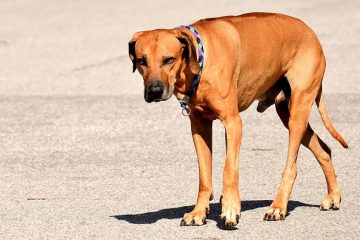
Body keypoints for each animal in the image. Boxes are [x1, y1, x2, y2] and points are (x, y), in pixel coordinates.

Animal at [128, 12, 348, 227]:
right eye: (141, 61)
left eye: (169, 60)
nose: (155, 91)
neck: (201, 61)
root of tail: (310, 32)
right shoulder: (199, 126)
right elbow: (204, 176)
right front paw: (199, 211)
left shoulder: (233, 123)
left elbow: (229, 170)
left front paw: (230, 209)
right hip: (286, 112)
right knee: (324, 149)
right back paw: (333, 196)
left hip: (299, 108)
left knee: (291, 166)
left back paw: (278, 207)